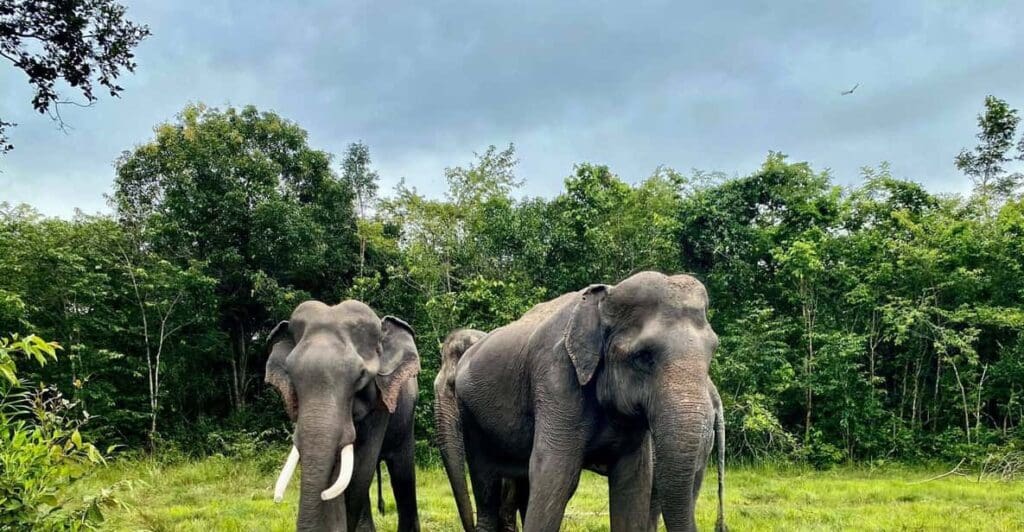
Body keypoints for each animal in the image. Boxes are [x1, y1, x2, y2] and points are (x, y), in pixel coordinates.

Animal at [449, 271, 725, 531]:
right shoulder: (556, 377)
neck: (605, 298)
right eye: (643, 357)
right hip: (469, 414)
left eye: (713, 350)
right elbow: (556, 476)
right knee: (486, 483)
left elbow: (633, 481)